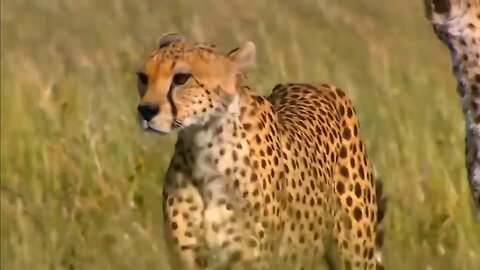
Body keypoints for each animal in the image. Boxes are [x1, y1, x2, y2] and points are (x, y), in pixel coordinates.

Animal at [134, 32, 386, 268]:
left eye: (181, 78)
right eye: (143, 77)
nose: (146, 110)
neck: (205, 144)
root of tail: (320, 84)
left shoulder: (254, 259)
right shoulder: (187, 257)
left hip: (354, 254)